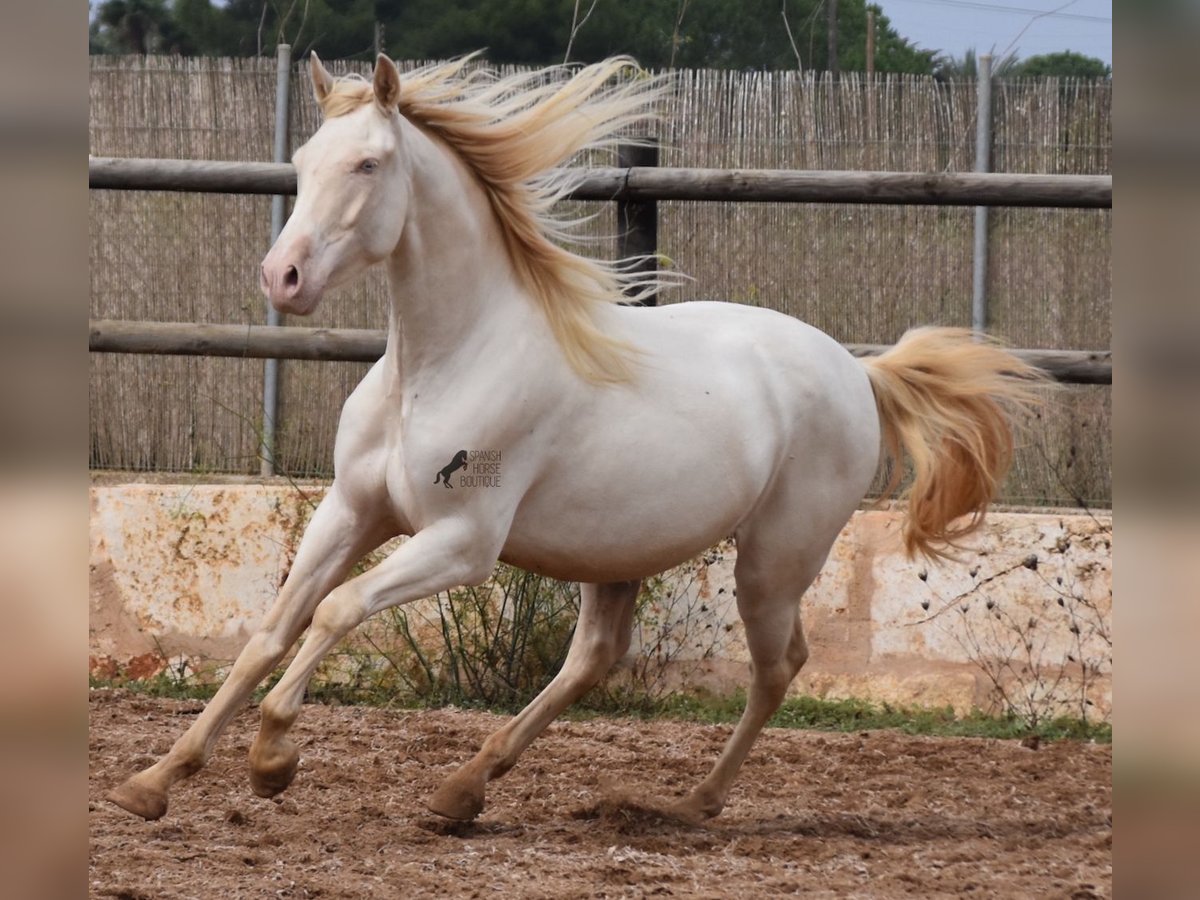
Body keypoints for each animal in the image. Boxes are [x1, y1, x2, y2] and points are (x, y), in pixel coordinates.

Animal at [108, 51, 1036, 825]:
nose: (284, 277)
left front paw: (272, 761)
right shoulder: (350, 513)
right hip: (619, 552)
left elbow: (335, 611)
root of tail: (857, 370)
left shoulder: (461, 543)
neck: (441, 362)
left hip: (774, 561)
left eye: (368, 163)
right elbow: (270, 633)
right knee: (594, 658)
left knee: (777, 668)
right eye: (301, 163)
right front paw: (153, 782)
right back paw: (462, 790)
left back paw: (689, 804)